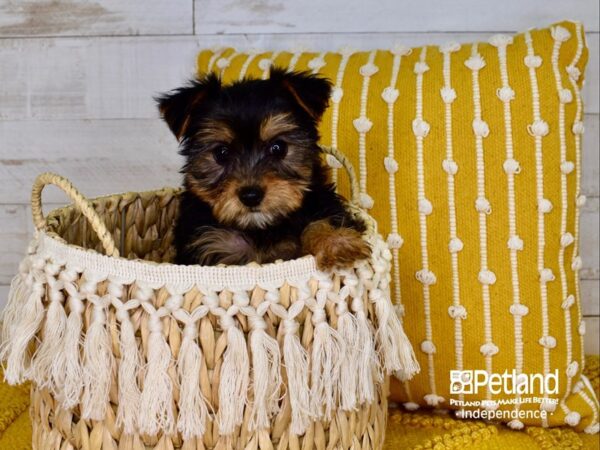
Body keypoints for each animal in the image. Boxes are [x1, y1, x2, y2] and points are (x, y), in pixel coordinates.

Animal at [157, 68, 368, 268]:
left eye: (278, 147)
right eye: (221, 153)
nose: (251, 196)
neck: (259, 228)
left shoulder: (323, 205)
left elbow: (320, 221)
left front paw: (338, 242)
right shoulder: (209, 243)